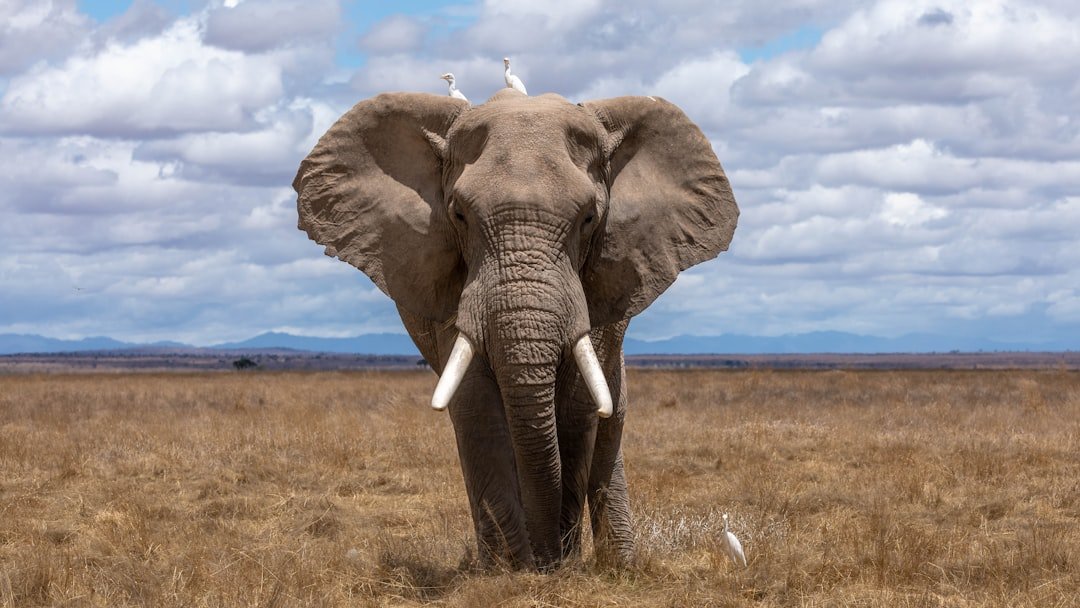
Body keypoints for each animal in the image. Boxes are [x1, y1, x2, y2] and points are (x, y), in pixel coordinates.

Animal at [292, 88, 738, 571]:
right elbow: (476, 405)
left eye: (589, 218)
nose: (547, 560)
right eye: (459, 215)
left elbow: (578, 408)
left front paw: (558, 565)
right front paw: (511, 571)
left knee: (610, 420)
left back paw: (619, 564)